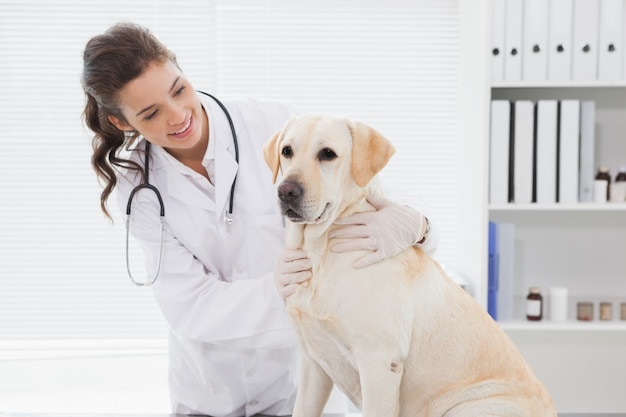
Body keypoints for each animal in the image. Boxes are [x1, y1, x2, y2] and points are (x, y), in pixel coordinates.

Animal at [260, 114, 552, 416]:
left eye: (328, 154)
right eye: (287, 151)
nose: (286, 191)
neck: (322, 254)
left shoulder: (379, 363)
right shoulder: (313, 364)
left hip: (467, 407)